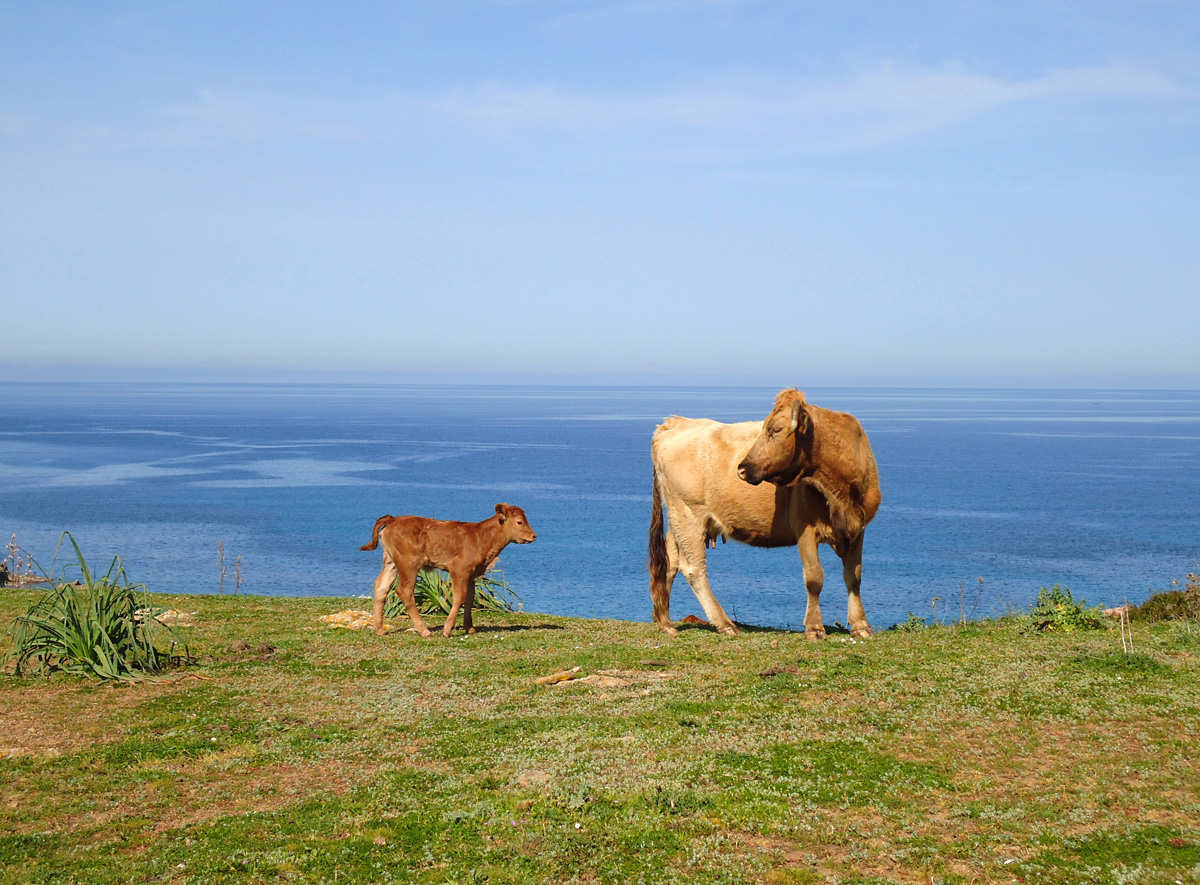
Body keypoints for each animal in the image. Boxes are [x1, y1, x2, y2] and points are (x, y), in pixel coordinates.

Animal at [360, 503, 536, 638]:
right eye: (519, 522)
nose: (534, 536)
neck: (481, 537)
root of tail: (394, 519)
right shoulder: (459, 569)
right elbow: (459, 598)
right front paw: (447, 630)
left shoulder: (472, 574)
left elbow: (470, 598)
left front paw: (469, 628)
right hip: (408, 564)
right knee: (404, 591)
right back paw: (424, 630)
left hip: (391, 562)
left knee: (381, 586)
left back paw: (380, 629)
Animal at [648, 389, 881, 640]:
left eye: (775, 430)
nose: (742, 468)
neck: (841, 494)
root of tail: (675, 423)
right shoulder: (805, 528)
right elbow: (814, 577)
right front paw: (815, 628)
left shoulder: (858, 529)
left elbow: (854, 577)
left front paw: (861, 625)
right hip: (688, 513)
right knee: (694, 569)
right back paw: (724, 623)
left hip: (678, 519)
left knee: (669, 561)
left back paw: (665, 622)